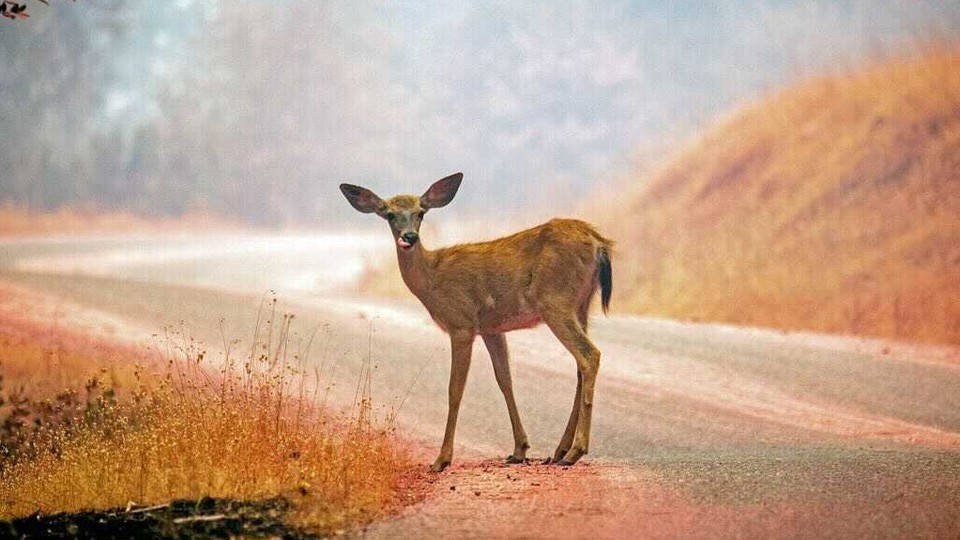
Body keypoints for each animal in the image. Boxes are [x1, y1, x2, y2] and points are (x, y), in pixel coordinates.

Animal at [342, 173, 612, 472]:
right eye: (389, 214)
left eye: (421, 212)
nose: (409, 237)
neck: (432, 280)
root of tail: (599, 243)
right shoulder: (492, 329)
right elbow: (505, 380)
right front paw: (519, 449)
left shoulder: (461, 323)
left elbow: (454, 389)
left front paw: (441, 459)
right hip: (582, 305)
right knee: (580, 366)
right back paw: (560, 449)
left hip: (555, 301)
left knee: (590, 355)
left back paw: (575, 450)